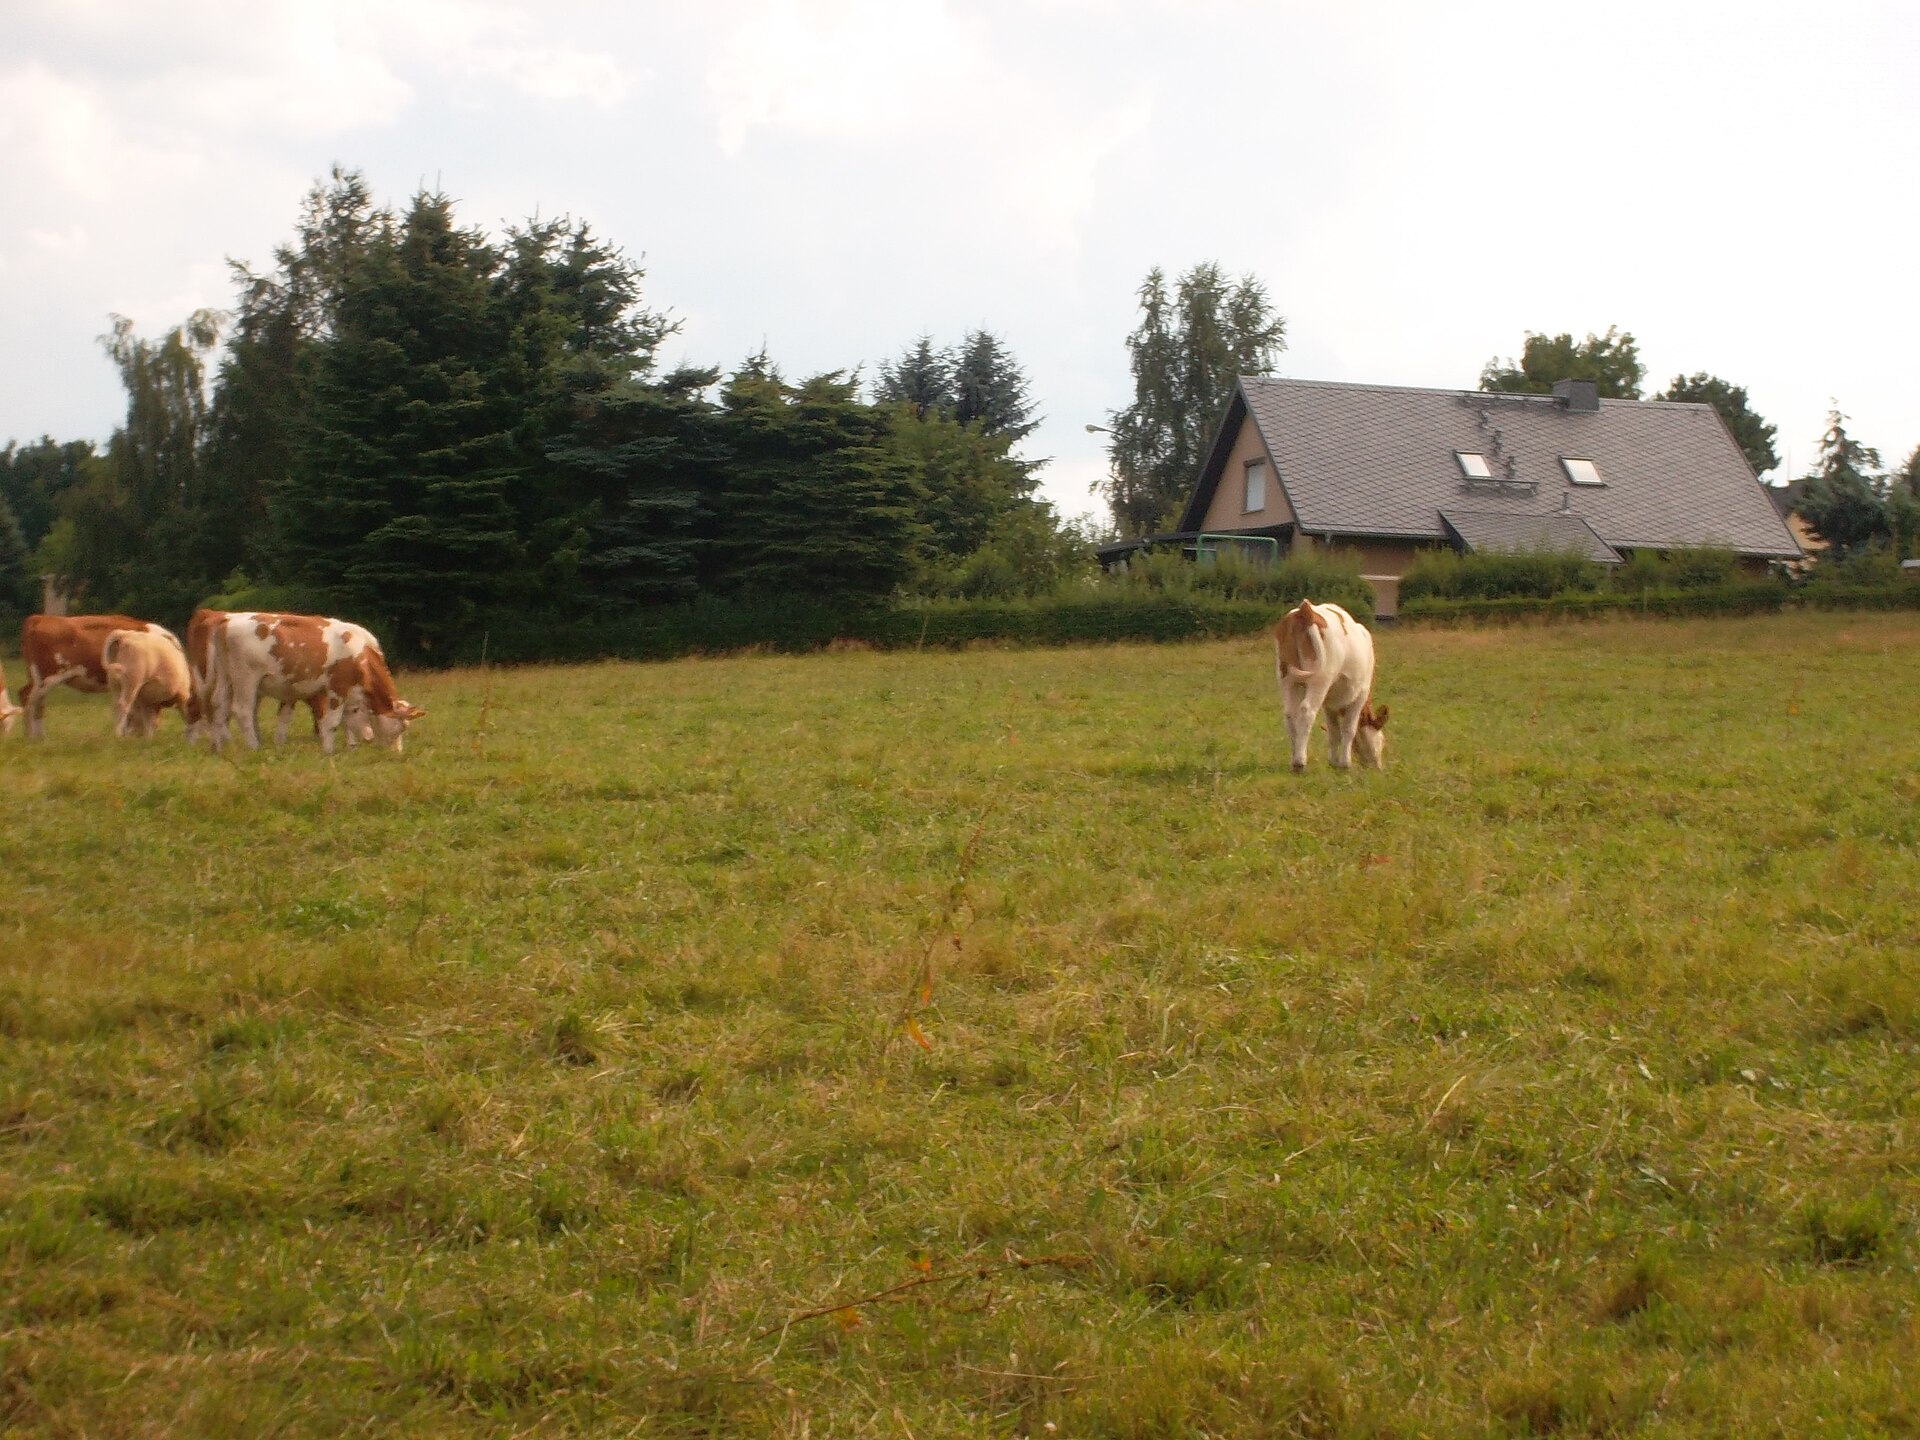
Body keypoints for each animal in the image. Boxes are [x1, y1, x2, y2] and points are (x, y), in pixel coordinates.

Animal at [18, 614, 184, 739]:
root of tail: (40, 618)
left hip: (40, 679)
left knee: (37, 703)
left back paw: (39, 738)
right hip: (45, 678)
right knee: (28, 698)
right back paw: (32, 737)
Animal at [204, 611, 425, 754]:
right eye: (400, 727)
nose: (397, 753)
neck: (360, 652)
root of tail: (226, 620)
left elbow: (345, 720)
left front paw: (351, 747)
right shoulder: (337, 688)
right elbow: (332, 721)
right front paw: (328, 751)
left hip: (225, 677)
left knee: (218, 706)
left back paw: (220, 747)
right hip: (246, 678)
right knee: (242, 710)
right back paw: (253, 747)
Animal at [1272, 598, 1387, 772]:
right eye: (1381, 740)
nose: (1378, 768)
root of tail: (1305, 610)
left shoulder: (1329, 705)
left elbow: (1333, 732)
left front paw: (1333, 762)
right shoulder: (1361, 694)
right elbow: (1348, 729)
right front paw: (1345, 764)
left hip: (1287, 679)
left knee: (1290, 714)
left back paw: (1293, 760)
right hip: (1320, 678)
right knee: (1306, 711)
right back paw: (1299, 762)